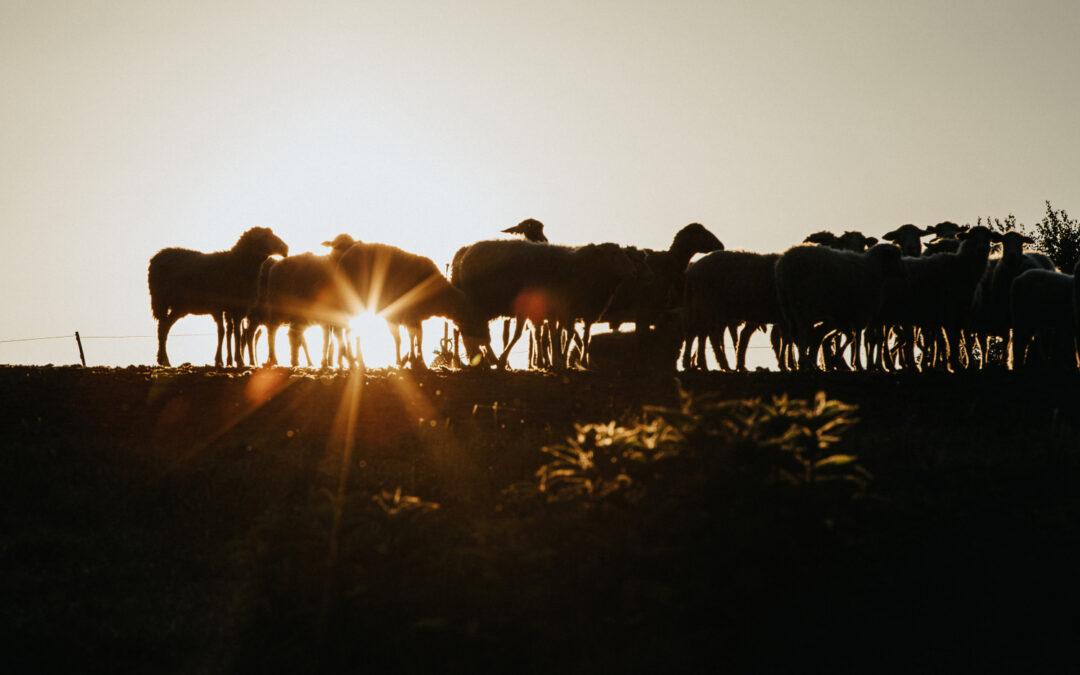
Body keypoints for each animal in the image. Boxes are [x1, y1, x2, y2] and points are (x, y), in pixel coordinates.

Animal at [150, 226, 291, 365]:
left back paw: (163, 359)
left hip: (180, 307)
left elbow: (237, 333)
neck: (236, 264)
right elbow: (222, 331)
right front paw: (220, 360)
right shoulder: (217, 307)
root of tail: (157, 255)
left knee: (165, 326)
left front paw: (238, 360)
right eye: (265, 236)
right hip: (161, 301)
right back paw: (163, 359)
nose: (285, 248)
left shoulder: (238, 309)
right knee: (162, 327)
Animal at [336, 240, 490, 369]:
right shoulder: (403, 314)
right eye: (474, 318)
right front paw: (406, 360)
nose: (486, 340)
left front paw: (417, 360)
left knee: (346, 330)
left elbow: (417, 338)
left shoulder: (415, 317)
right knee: (346, 330)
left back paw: (352, 360)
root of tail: (345, 257)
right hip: (350, 301)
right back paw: (353, 361)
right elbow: (403, 338)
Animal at [777, 241, 902, 369]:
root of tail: (784, 263)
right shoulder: (860, 313)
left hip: (788, 305)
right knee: (801, 331)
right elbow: (857, 337)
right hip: (803, 304)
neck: (874, 268)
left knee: (794, 334)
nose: (903, 272)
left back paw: (806, 362)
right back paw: (804, 361)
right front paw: (856, 363)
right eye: (896, 257)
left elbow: (850, 336)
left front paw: (840, 359)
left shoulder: (845, 316)